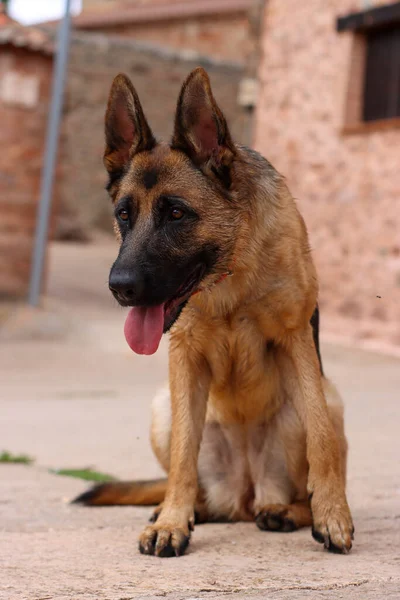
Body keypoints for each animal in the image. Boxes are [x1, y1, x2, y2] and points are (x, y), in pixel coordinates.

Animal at [74, 67, 354, 556]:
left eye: (176, 214)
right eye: (124, 215)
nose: (120, 287)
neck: (231, 273)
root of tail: (245, 493)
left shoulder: (297, 341)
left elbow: (321, 441)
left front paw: (333, 515)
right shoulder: (185, 359)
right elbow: (185, 453)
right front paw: (172, 522)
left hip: (327, 398)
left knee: (299, 477)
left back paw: (288, 511)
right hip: (163, 406)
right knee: (186, 476)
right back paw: (183, 510)